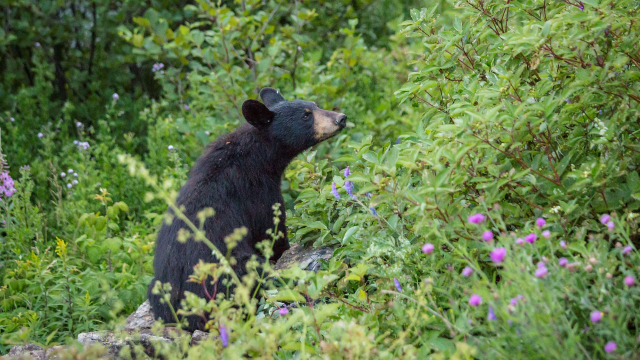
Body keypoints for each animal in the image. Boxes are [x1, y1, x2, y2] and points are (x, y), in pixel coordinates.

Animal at [148, 88, 348, 332]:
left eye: (315, 105)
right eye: (305, 116)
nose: (341, 118)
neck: (257, 157)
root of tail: (181, 314)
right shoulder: (258, 193)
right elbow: (272, 232)